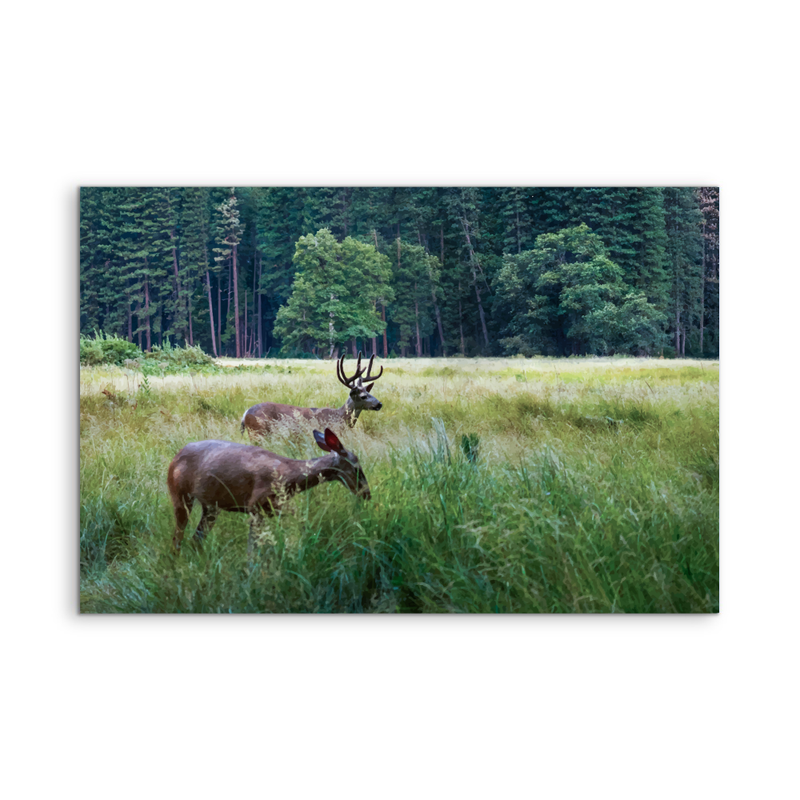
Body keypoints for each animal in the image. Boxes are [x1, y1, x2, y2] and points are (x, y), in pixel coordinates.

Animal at [167, 428, 370, 553]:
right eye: (357, 469)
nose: (367, 494)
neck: (289, 477)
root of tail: (174, 458)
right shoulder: (255, 505)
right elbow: (253, 548)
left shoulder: (274, 508)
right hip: (180, 494)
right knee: (177, 538)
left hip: (211, 506)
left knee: (196, 538)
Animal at [241, 351, 384, 437]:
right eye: (363, 396)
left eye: (369, 392)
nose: (379, 404)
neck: (340, 417)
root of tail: (245, 414)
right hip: (258, 432)